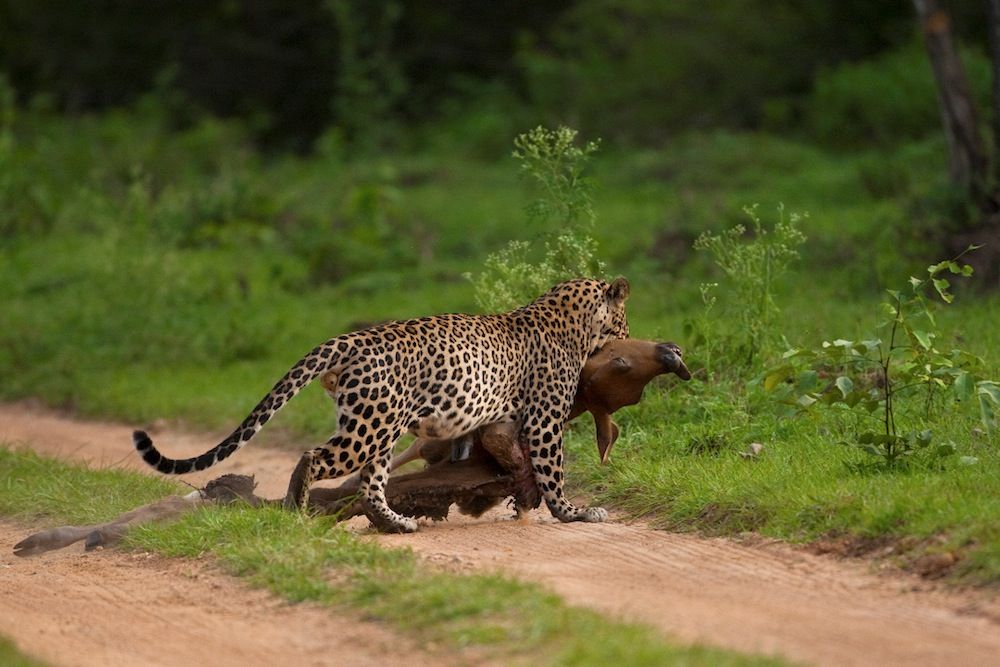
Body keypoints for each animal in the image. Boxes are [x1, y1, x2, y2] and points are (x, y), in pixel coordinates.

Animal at [132, 276, 628, 532]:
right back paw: (296, 512)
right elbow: (553, 471)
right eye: (624, 318)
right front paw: (574, 513)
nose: (630, 334)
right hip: (368, 429)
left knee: (371, 485)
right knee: (314, 457)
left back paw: (395, 524)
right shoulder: (545, 420)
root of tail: (355, 338)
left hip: (379, 425)